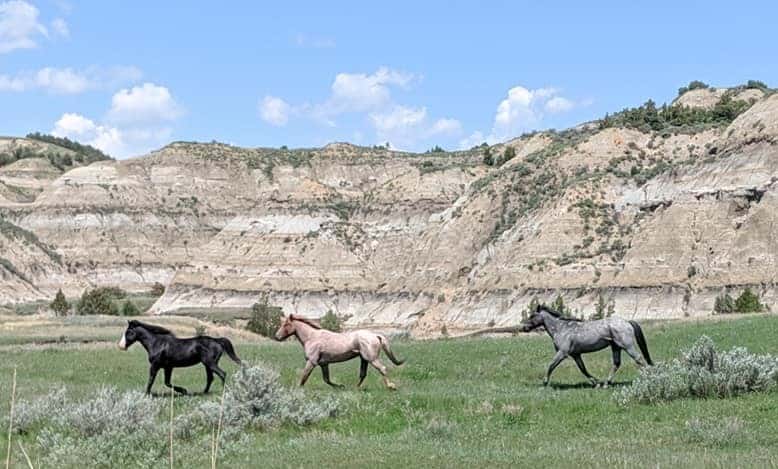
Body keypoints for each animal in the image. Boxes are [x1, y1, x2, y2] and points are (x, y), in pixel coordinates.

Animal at [272, 316, 404, 390]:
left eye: (286, 324)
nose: (277, 336)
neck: (311, 337)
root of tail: (375, 335)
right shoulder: (323, 364)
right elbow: (326, 379)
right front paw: (341, 386)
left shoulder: (311, 362)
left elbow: (304, 376)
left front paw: (298, 389)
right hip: (364, 359)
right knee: (363, 374)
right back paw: (355, 388)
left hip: (372, 359)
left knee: (382, 369)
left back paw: (391, 386)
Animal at [520, 306, 652, 386]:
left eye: (533, 316)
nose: (524, 328)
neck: (561, 329)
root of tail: (627, 322)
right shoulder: (575, 355)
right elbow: (583, 369)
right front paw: (595, 382)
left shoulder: (562, 353)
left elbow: (551, 365)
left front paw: (545, 382)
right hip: (616, 347)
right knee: (616, 363)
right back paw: (606, 384)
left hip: (627, 346)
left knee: (639, 359)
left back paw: (648, 379)